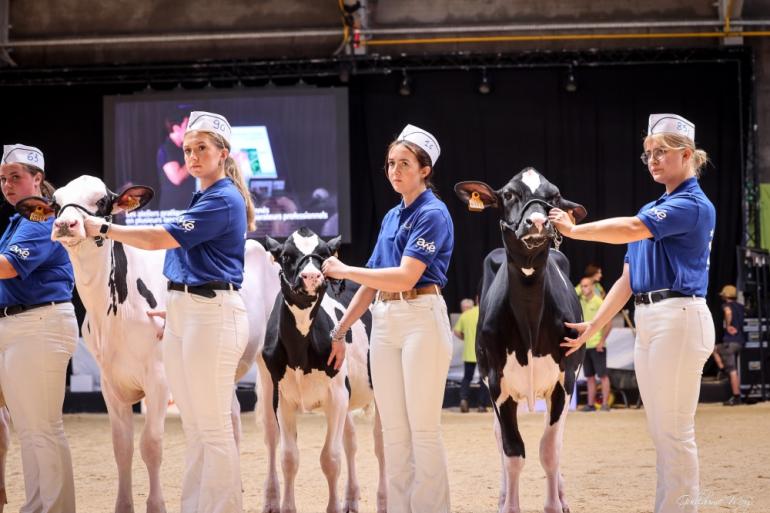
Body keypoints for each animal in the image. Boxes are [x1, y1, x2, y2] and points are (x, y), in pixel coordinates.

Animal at [260, 227, 384, 512]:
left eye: (325, 255)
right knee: (349, 442)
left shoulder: (337, 395)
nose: (312, 276)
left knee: (381, 444)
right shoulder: (281, 398)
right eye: (286, 255)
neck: (299, 352)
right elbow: (289, 457)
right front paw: (287, 507)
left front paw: (333, 507)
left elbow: (330, 458)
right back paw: (350, 499)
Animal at [452, 168, 584, 512]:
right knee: (499, 437)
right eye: (509, 194)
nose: (537, 221)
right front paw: (509, 504)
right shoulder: (497, 385)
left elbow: (549, 450)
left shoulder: (563, 382)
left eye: (555, 196)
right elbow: (513, 450)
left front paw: (554, 504)